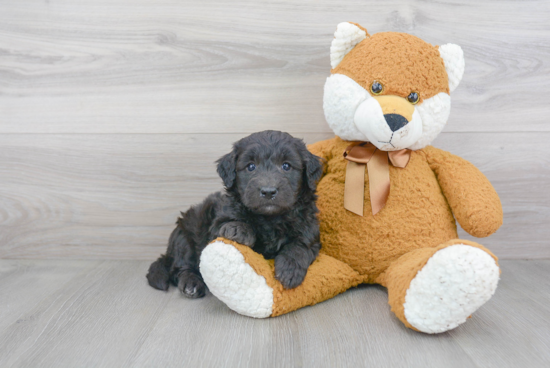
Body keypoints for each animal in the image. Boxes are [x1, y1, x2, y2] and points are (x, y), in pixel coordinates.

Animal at [149, 131, 326, 298]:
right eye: (251, 166)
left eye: (286, 166)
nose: (268, 191)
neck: (270, 218)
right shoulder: (217, 223)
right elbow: (227, 223)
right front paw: (239, 229)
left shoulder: (309, 229)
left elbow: (300, 246)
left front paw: (289, 269)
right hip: (183, 237)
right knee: (181, 267)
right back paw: (191, 283)